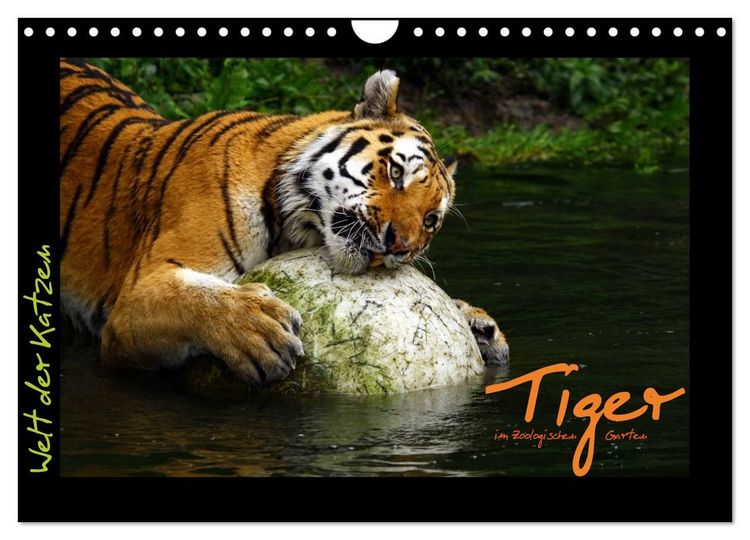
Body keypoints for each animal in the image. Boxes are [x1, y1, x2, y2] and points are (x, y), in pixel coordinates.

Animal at [60, 58, 509, 388]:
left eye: (431, 220)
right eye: (396, 173)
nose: (399, 245)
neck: (293, 226)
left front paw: (478, 325)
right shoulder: (133, 298)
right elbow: (193, 296)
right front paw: (257, 330)